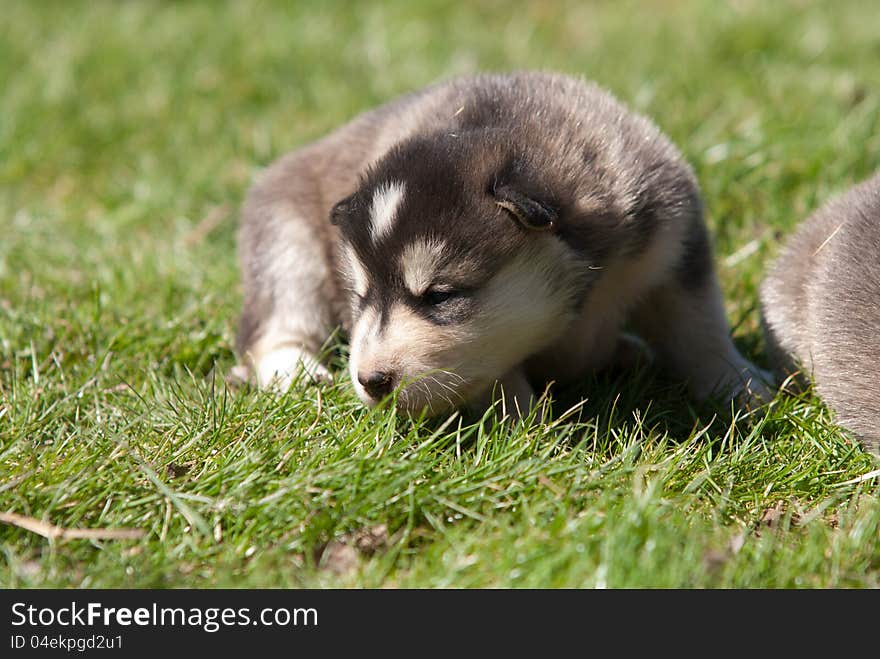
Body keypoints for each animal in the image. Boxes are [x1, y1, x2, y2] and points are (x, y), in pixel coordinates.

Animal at [237, 71, 768, 418]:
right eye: (361, 297)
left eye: (440, 295)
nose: (370, 382)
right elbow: (495, 370)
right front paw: (526, 425)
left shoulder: (674, 242)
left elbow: (698, 327)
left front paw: (739, 384)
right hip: (286, 241)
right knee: (276, 325)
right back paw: (296, 372)